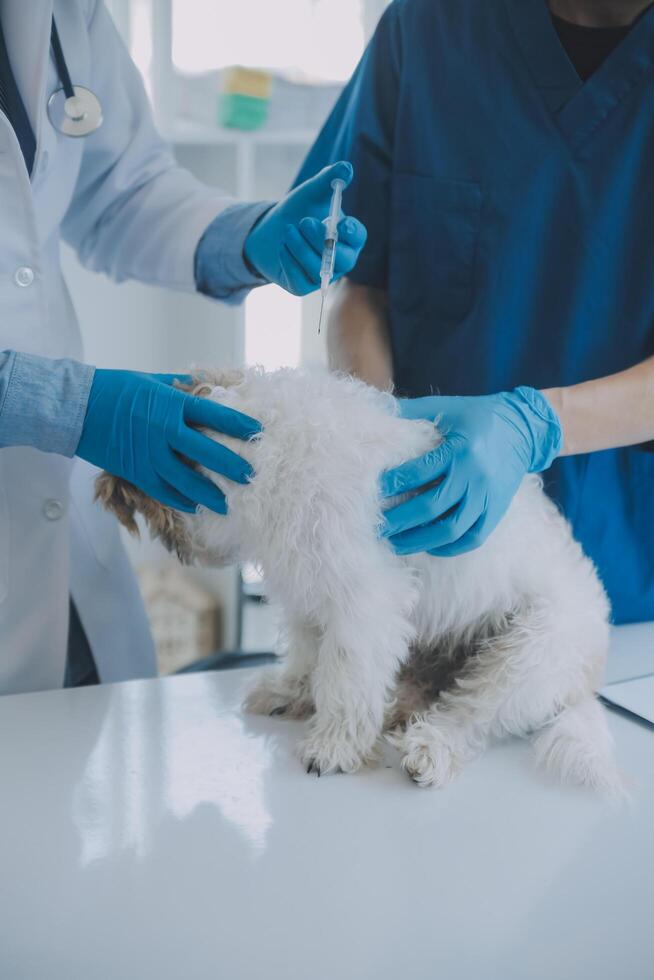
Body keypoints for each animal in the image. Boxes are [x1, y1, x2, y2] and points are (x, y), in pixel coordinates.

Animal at [96, 368, 620, 796]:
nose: (180, 551)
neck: (266, 449)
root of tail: (586, 679)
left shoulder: (363, 602)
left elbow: (347, 678)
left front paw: (333, 747)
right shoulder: (306, 589)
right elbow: (307, 653)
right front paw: (291, 692)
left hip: (528, 654)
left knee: (473, 712)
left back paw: (429, 747)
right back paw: (398, 709)